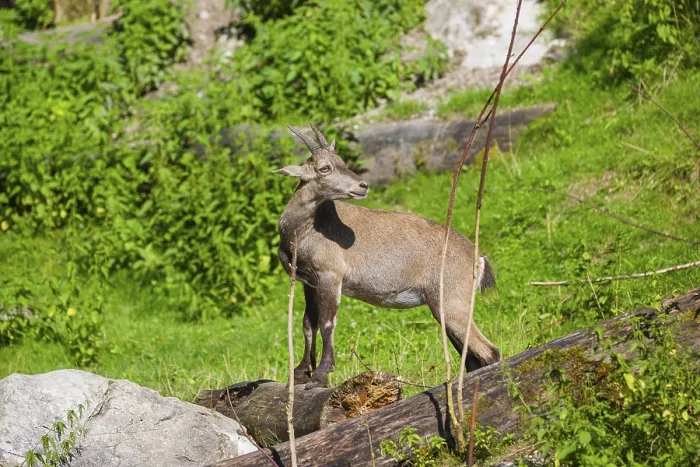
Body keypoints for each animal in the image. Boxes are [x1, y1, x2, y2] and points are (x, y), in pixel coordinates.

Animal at [276, 125, 501, 387]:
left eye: (341, 162)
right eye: (325, 167)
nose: (362, 186)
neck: (304, 229)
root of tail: (477, 258)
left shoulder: (330, 275)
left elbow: (327, 323)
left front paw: (321, 374)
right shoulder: (309, 282)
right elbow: (308, 323)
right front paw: (301, 373)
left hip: (453, 302)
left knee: (490, 352)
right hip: (442, 306)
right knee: (473, 357)